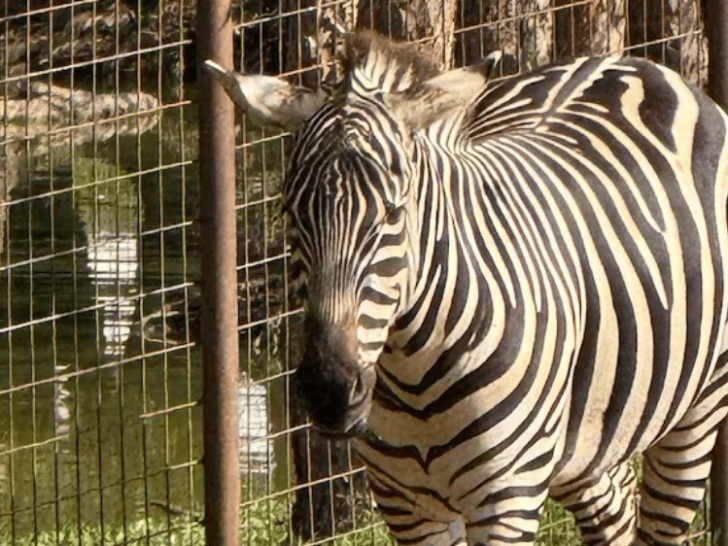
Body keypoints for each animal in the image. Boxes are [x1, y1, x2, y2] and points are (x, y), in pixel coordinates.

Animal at [206, 32, 728, 546]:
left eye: (394, 214)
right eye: (290, 213)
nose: (329, 391)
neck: (411, 373)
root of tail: (630, 62)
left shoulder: (507, 498)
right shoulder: (405, 505)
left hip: (698, 410)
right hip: (587, 434)